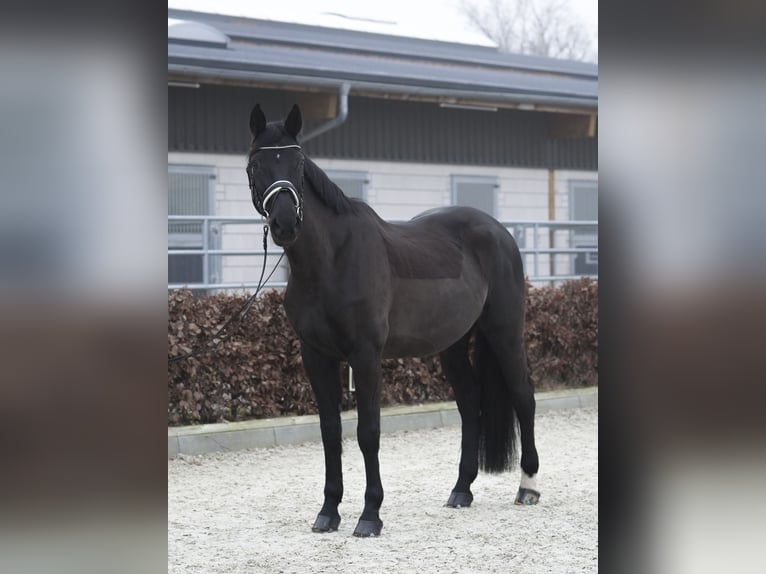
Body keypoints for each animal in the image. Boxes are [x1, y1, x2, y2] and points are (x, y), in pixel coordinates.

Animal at [246, 104, 540, 540]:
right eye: (255, 165)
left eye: (298, 164)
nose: (285, 223)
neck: (331, 261)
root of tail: (499, 232)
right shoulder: (315, 356)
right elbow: (330, 433)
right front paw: (328, 512)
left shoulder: (366, 356)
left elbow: (368, 433)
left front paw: (370, 515)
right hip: (453, 344)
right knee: (471, 403)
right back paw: (461, 490)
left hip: (504, 332)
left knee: (523, 396)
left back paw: (528, 487)